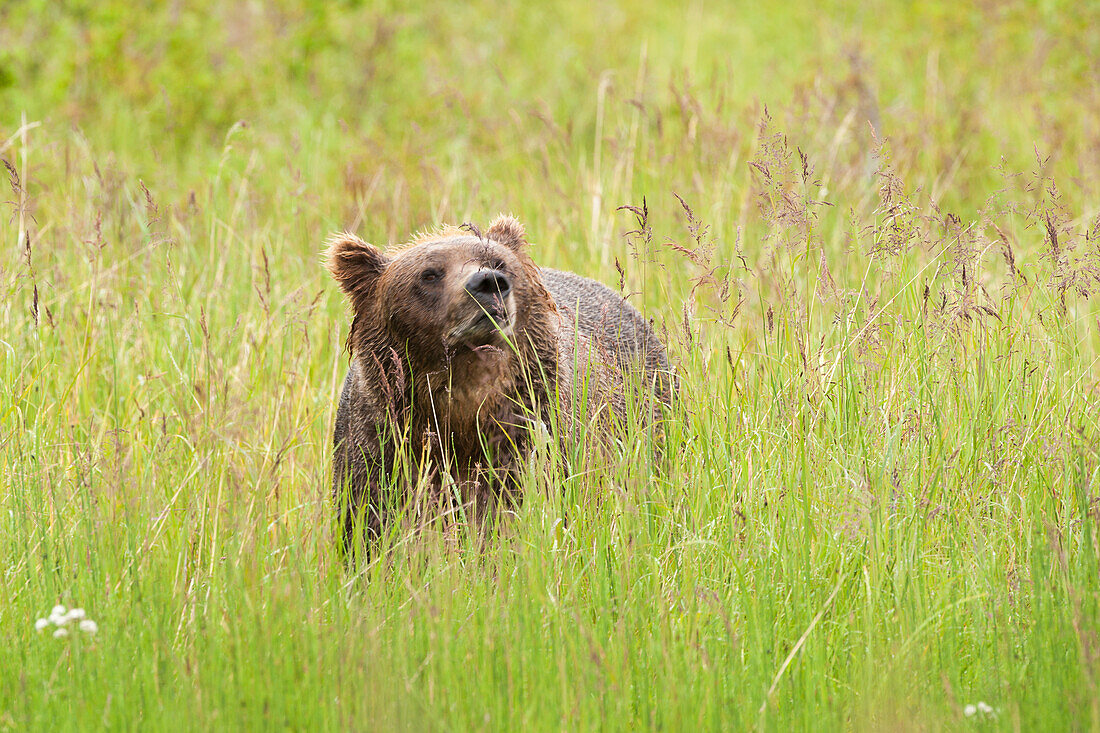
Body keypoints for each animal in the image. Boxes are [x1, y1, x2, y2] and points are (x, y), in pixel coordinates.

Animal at [323, 214, 668, 545]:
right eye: (429, 273)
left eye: (499, 262)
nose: (488, 282)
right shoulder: (383, 447)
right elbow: (373, 523)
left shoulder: (532, 431)